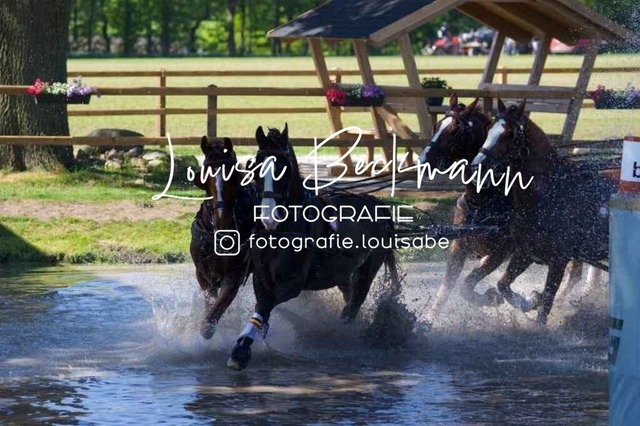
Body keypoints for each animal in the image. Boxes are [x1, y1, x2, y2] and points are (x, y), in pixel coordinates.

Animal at [190, 136, 257, 339]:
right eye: (205, 173)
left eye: (233, 174)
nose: (223, 221)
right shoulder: (203, 273)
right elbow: (210, 306)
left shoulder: (234, 276)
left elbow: (209, 323)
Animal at [226, 124, 400, 370]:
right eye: (255, 165)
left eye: (284, 167)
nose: (268, 218)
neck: (282, 230)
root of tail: (377, 204)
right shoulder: (261, 277)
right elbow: (262, 305)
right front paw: (244, 343)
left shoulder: (294, 283)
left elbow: (266, 305)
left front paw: (241, 350)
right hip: (341, 274)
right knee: (349, 297)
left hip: (368, 269)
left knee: (354, 304)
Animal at [470, 99, 615, 324]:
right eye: (489, 128)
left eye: (510, 134)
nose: (477, 166)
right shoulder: (525, 252)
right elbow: (503, 285)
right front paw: (530, 300)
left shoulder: (559, 261)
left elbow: (546, 304)